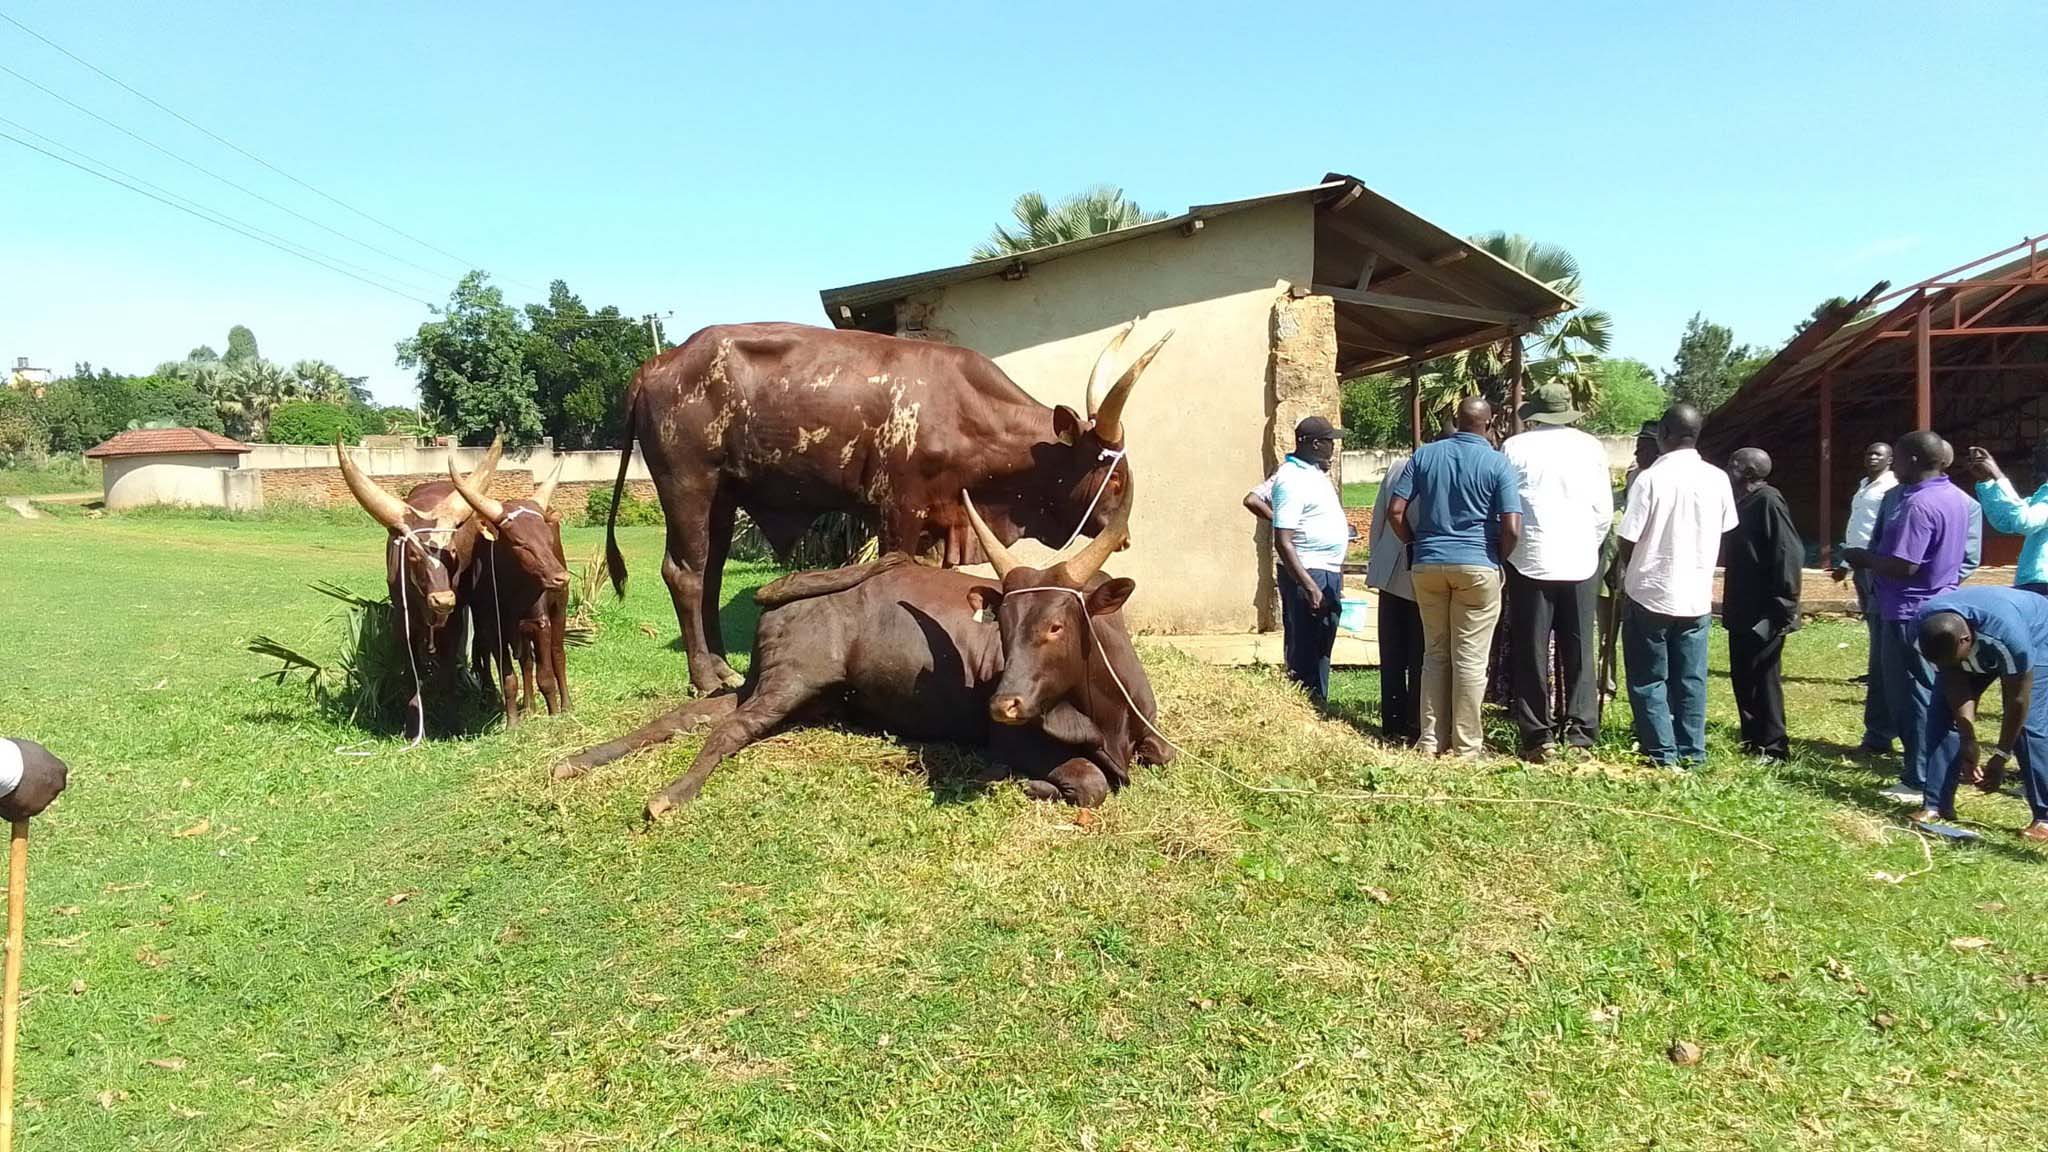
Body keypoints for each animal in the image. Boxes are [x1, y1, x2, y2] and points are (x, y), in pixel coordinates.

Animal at [335, 430, 499, 733]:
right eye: (412, 555)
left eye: (453, 550)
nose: (443, 600)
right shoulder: (403, 623)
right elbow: (412, 673)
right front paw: (413, 724)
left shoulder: (453, 622)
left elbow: (448, 673)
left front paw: (451, 722)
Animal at [448, 461, 569, 721]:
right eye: (520, 543)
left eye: (548, 540)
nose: (561, 578)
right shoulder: (493, 627)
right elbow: (509, 678)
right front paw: (512, 722)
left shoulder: (540, 623)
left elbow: (546, 675)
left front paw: (554, 715)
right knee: (526, 661)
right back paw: (529, 708)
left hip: (559, 609)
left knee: (557, 655)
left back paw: (566, 706)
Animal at [557, 483, 1171, 815]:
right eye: (1002, 623)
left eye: (1057, 626)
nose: (1004, 703)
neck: (1107, 712)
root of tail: (789, 585)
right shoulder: (1013, 742)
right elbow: (1091, 783)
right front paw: (1037, 783)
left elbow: (1158, 757)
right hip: (791, 683)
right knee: (726, 731)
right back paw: (669, 793)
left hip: (787, 690)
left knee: (687, 716)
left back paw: (579, 759)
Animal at [598, 315, 1171, 688]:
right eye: (1114, 478)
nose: (1124, 537)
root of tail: (657, 363)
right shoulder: (899, 509)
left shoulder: (944, 520)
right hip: (687, 485)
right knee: (685, 574)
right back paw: (705, 676)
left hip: (722, 496)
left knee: (711, 571)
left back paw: (719, 663)